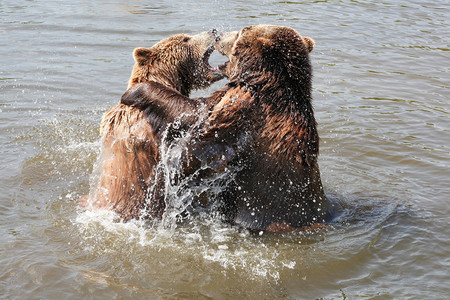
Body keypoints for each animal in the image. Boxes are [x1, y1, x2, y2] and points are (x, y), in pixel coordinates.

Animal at [120, 25, 334, 232]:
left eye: (241, 31)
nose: (218, 35)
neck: (261, 82)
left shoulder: (243, 110)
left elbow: (195, 124)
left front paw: (136, 90)